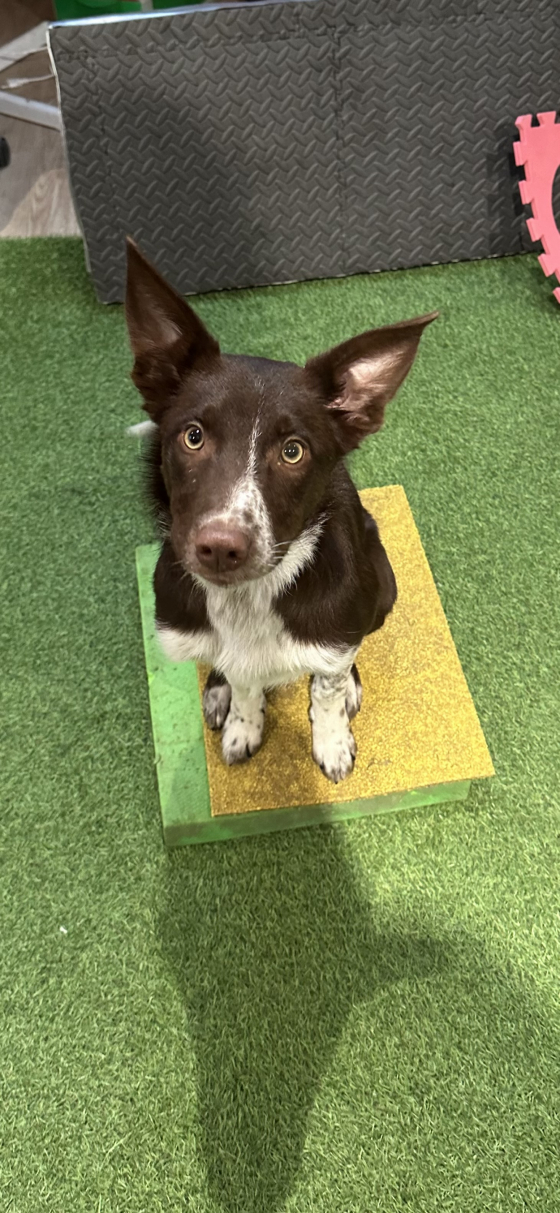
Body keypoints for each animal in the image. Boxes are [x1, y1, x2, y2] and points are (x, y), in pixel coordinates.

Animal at [125, 239, 437, 783]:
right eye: (193, 436)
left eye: (293, 451)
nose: (220, 548)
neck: (247, 600)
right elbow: (245, 684)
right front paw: (242, 723)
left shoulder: (336, 635)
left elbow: (328, 687)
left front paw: (331, 740)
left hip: (383, 583)